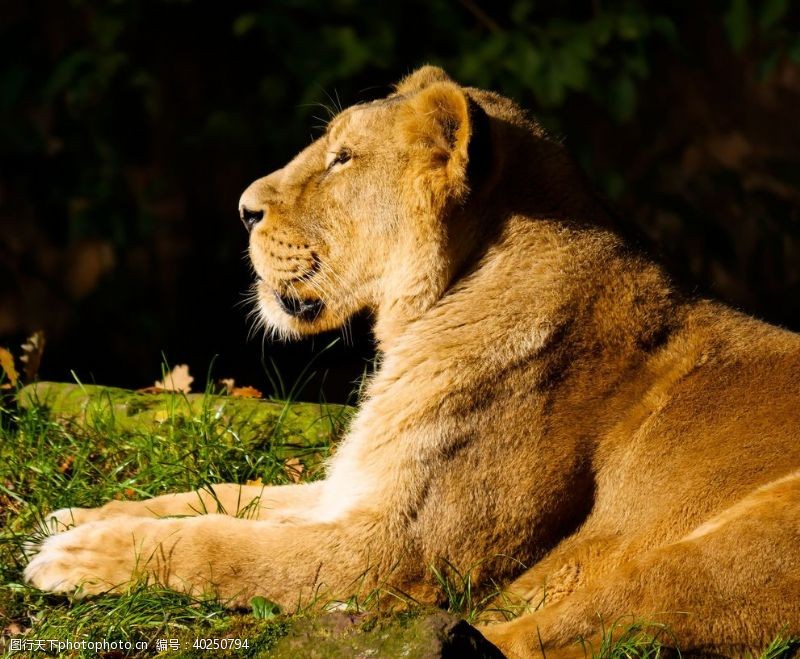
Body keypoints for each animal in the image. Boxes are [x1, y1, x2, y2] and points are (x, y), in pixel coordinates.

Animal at [21, 68, 800, 659]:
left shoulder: (401, 552)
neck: (426, 314)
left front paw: (78, 558)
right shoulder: (360, 486)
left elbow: (223, 544)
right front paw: (76, 517)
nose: (242, 209)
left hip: (722, 551)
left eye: (342, 158)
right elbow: (221, 495)